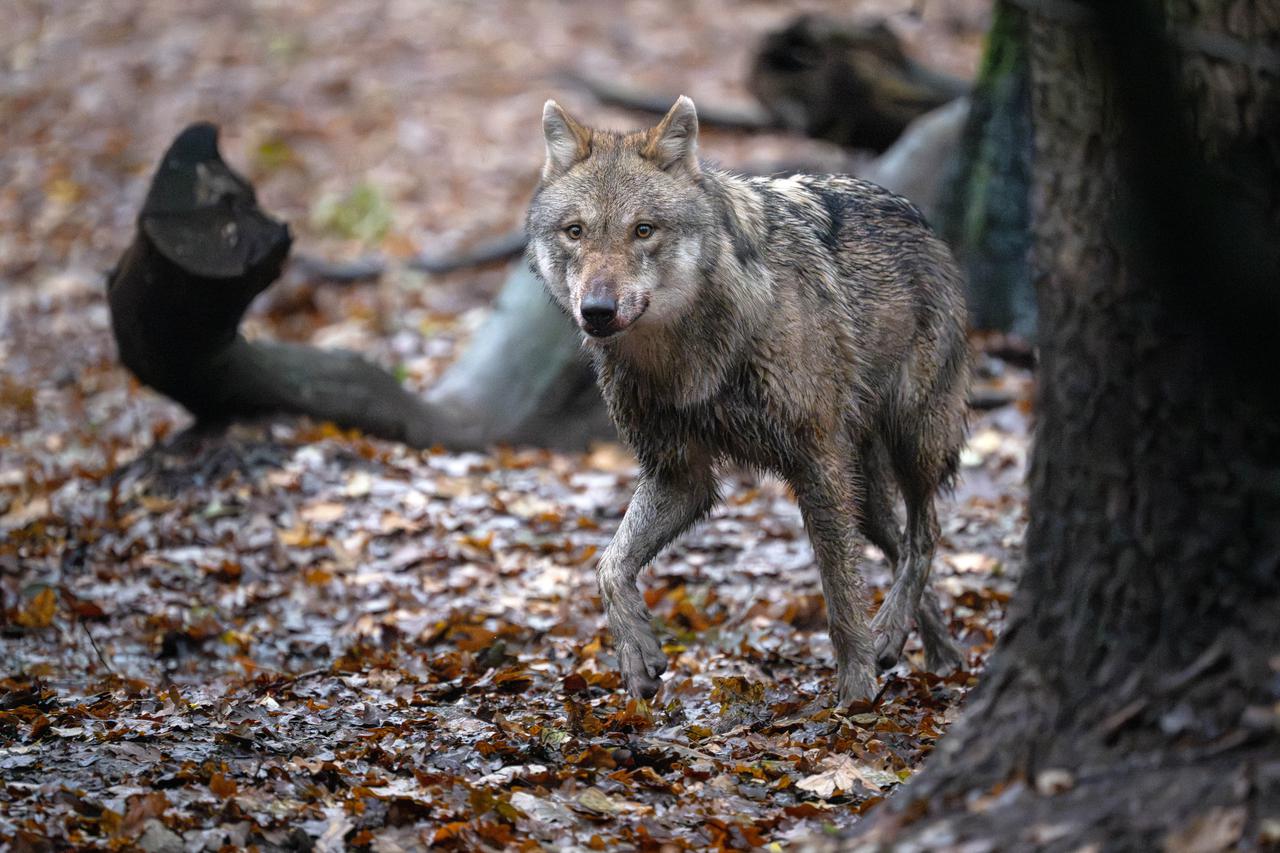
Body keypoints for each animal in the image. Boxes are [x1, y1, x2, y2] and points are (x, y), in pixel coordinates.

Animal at [524, 94, 962, 701]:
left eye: (643, 230)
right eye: (575, 232)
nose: (597, 311)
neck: (684, 357)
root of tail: (923, 222)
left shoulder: (815, 462)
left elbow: (839, 593)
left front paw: (855, 690)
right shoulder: (679, 474)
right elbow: (608, 566)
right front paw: (637, 653)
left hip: (910, 442)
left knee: (926, 537)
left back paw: (894, 635)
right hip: (866, 492)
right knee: (901, 546)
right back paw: (934, 652)